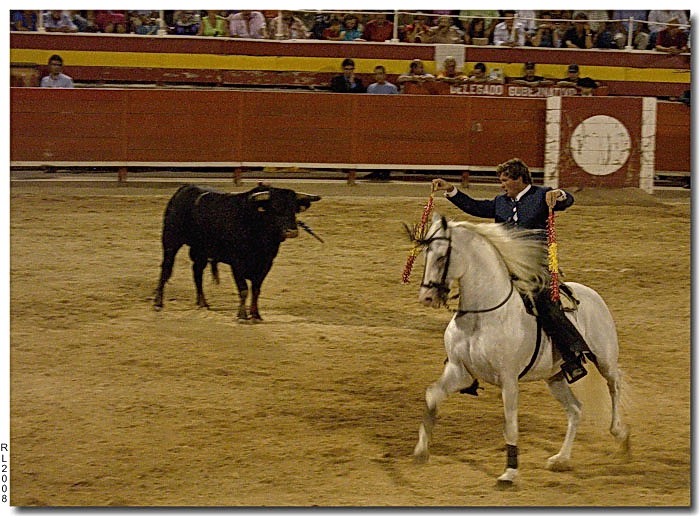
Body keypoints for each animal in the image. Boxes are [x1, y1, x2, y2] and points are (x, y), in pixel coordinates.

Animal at [154, 183, 322, 320]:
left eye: (294, 210)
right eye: (274, 209)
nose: (291, 231)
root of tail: (184, 189)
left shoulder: (266, 263)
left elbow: (256, 289)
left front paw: (256, 315)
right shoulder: (237, 263)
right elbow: (243, 289)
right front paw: (242, 315)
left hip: (200, 250)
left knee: (197, 272)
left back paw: (203, 303)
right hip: (170, 240)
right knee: (166, 268)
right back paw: (158, 303)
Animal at [412, 213, 632, 484]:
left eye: (442, 256)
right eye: (426, 254)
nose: (426, 297)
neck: (482, 316)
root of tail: (592, 294)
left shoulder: (508, 379)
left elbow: (510, 425)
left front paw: (510, 472)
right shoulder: (459, 370)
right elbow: (432, 395)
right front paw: (421, 450)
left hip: (604, 359)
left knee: (614, 384)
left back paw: (620, 434)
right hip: (555, 377)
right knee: (575, 410)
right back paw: (561, 459)